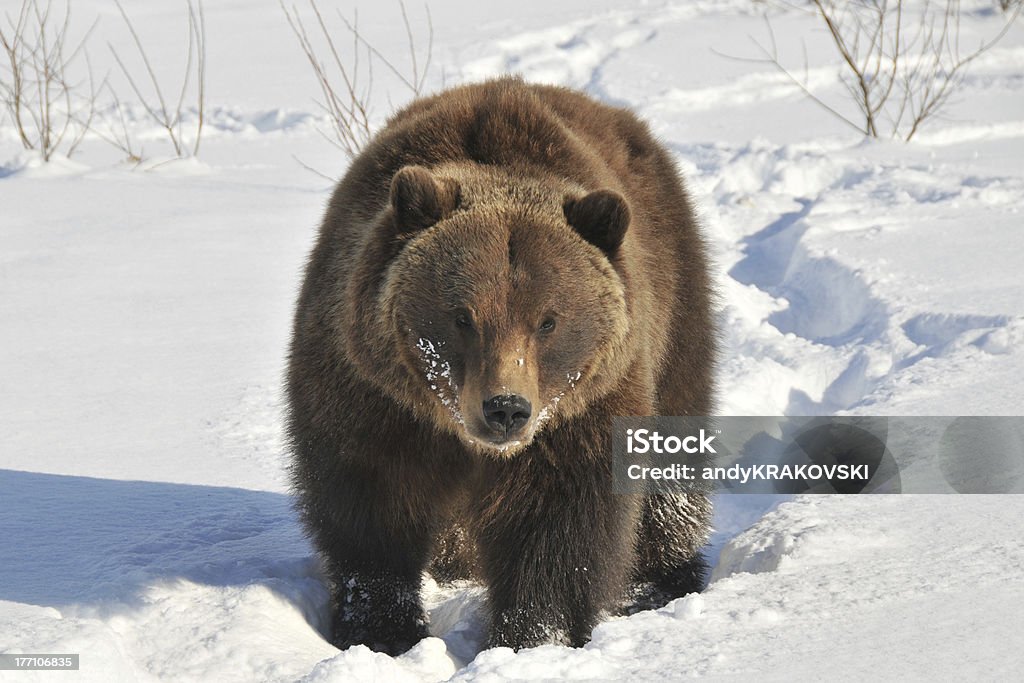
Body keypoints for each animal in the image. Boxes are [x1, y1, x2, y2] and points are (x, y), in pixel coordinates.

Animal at [284, 76, 716, 655]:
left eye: (548, 320)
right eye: (462, 316)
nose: (506, 408)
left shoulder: (580, 412)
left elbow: (557, 525)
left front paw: (530, 636)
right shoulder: (373, 391)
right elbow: (372, 504)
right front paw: (383, 629)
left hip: (675, 304)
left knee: (675, 451)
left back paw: (662, 578)